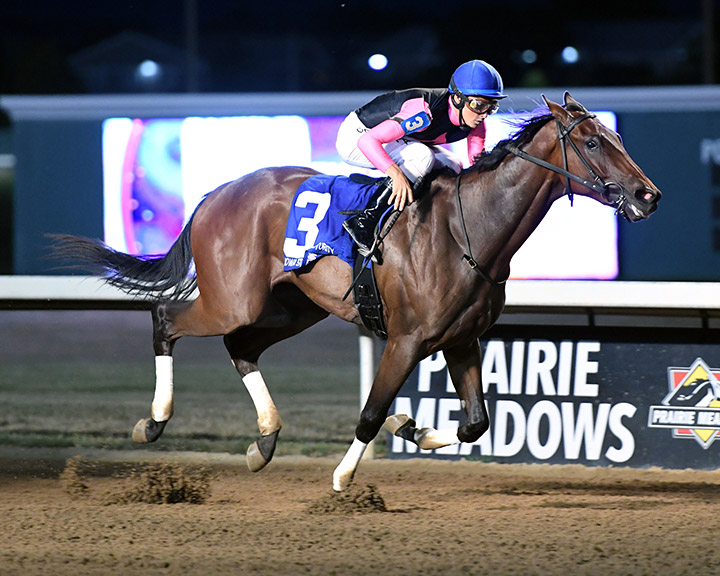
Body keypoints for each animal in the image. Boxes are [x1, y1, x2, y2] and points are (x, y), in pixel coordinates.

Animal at [51, 93, 661, 491]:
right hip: (233, 300)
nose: (647, 195)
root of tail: (214, 194)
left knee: (240, 347)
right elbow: (371, 412)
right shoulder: (406, 339)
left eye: (617, 136)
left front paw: (413, 427)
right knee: (166, 318)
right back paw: (154, 420)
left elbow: (476, 422)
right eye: (591, 140)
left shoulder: (461, 339)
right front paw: (346, 475)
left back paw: (264, 441)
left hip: (293, 308)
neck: (469, 230)